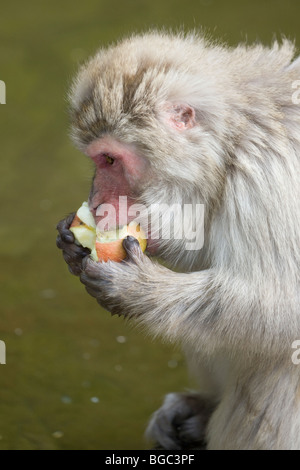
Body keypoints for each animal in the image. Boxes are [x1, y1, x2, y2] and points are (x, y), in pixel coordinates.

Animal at [56, 31, 300, 450]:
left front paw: (139, 290)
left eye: (110, 160)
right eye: (99, 160)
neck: (232, 141)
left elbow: (281, 304)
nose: (97, 201)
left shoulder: (272, 176)